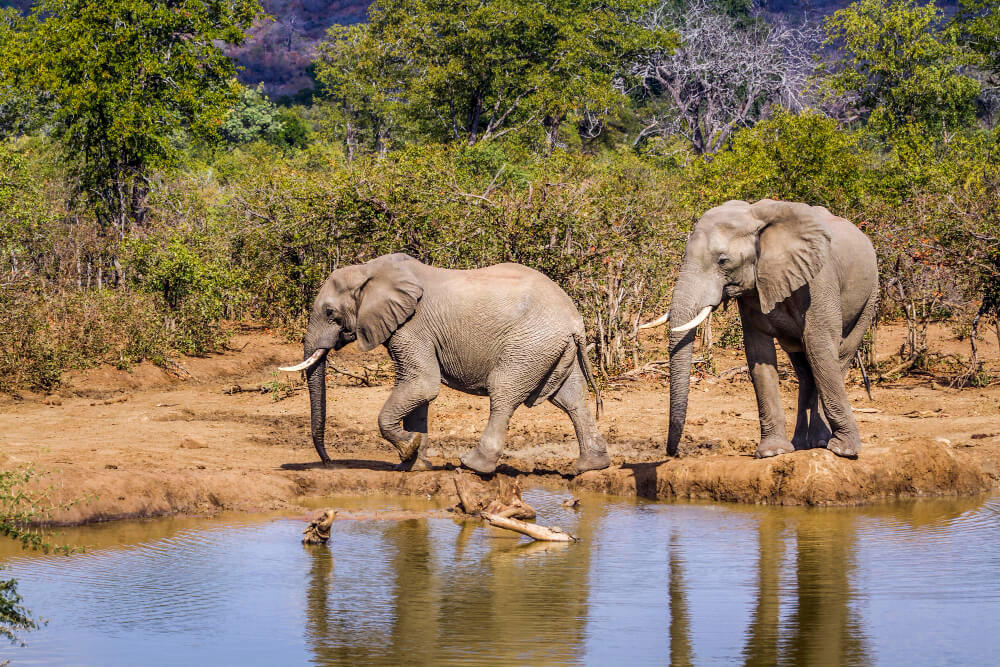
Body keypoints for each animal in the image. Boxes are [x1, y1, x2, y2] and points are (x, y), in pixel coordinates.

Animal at [280, 253, 608, 478]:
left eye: (329, 312)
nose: (328, 463)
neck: (369, 270)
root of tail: (575, 319)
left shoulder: (412, 327)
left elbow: (422, 385)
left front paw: (409, 448)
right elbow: (419, 395)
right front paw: (414, 465)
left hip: (529, 344)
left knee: (504, 393)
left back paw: (473, 465)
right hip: (552, 348)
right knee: (571, 399)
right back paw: (591, 466)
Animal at [640, 198, 876, 460]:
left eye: (722, 260)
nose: (672, 453)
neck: (754, 217)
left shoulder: (819, 281)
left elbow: (819, 345)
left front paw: (845, 451)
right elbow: (759, 351)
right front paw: (773, 452)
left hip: (870, 295)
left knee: (837, 357)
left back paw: (822, 442)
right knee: (804, 369)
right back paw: (803, 444)